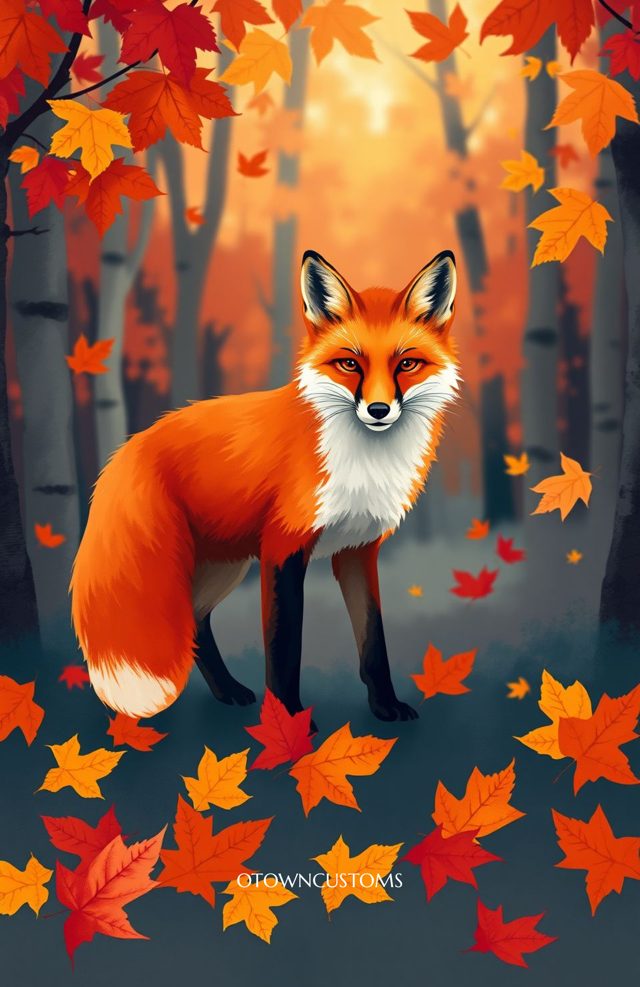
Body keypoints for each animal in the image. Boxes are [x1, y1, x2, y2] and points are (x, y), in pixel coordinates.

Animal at [71, 248, 460, 723]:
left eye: (407, 363)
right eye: (350, 363)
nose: (379, 410)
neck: (362, 464)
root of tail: (126, 448)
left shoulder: (358, 552)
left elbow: (374, 642)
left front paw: (385, 706)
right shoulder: (283, 547)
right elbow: (284, 645)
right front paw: (288, 721)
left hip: (224, 565)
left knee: (196, 622)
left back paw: (228, 692)